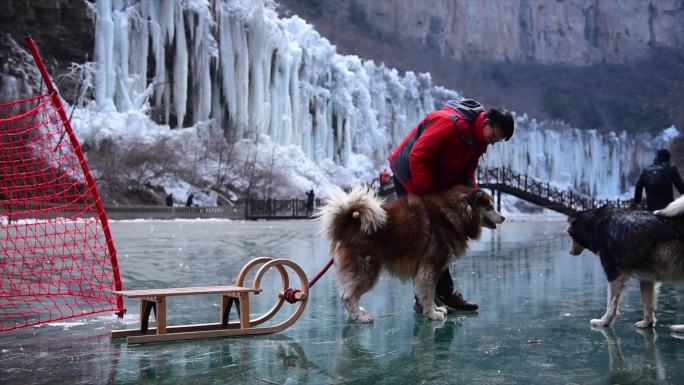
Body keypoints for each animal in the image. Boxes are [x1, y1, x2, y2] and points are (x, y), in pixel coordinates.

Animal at [320, 184, 502, 322]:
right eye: (490, 207)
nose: (503, 218)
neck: (455, 213)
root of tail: (348, 224)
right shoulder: (431, 265)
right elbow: (428, 292)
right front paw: (432, 313)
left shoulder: (426, 268)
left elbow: (428, 292)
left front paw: (436, 309)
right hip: (367, 268)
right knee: (347, 295)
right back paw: (359, 316)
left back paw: (358, 311)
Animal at [568, 196, 684, 328]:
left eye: (569, 234)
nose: (570, 252)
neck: (597, 225)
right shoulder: (646, 278)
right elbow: (647, 303)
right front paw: (647, 323)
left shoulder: (614, 275)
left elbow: (611, 304)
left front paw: (603, 322)